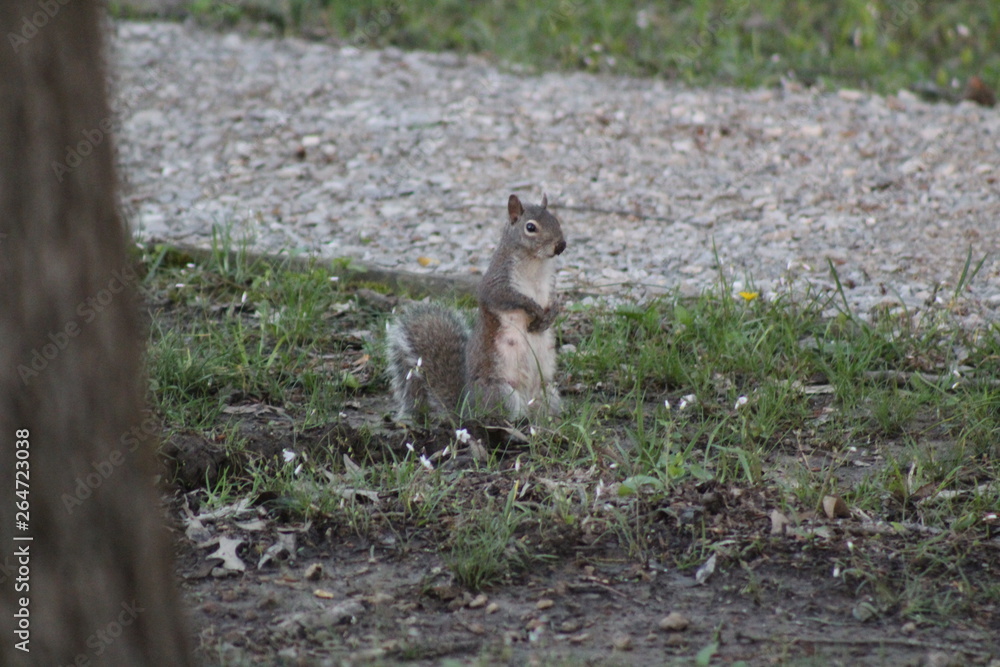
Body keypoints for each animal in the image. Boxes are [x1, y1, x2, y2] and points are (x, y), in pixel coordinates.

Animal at [386, 194, 566, 423]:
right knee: (499, 417)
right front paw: (533, 308)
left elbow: (554, 300)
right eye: (530, 227)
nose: (561, 245)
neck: (535, 264)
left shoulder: (549, 285)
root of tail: (466, 407)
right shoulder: (496, 284)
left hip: (549, 392)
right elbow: (508, 298)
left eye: (556, 219)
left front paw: (551, 315)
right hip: (501, 392)